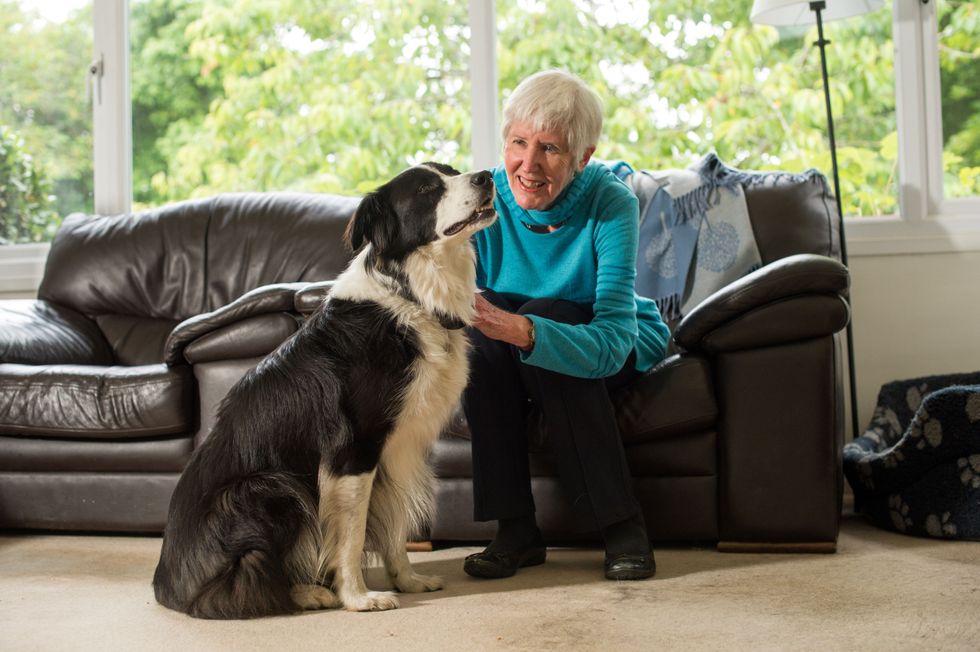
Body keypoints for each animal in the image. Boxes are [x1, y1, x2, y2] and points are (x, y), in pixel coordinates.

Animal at [154, 163, 498, 616]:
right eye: (426, 189)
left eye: (453, 171)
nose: (486, 176)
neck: (409, 293)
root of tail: (166, 587)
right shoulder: (353, 448)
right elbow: (349, 534)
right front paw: (357, 598)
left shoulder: (395, 449)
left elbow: (395, 524)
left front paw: (407, 582)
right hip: (270, 486)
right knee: (247, 581)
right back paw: (308, 593)